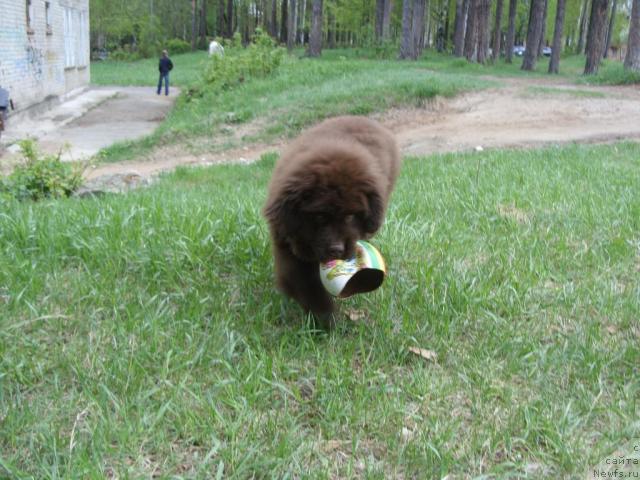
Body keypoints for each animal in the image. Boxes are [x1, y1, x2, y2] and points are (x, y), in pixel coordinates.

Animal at [262, 115, 398, 322]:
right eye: (319, 216)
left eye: (351, 216)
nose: (336, 250)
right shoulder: (286, 241)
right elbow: (306, 284)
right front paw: (325, 319)